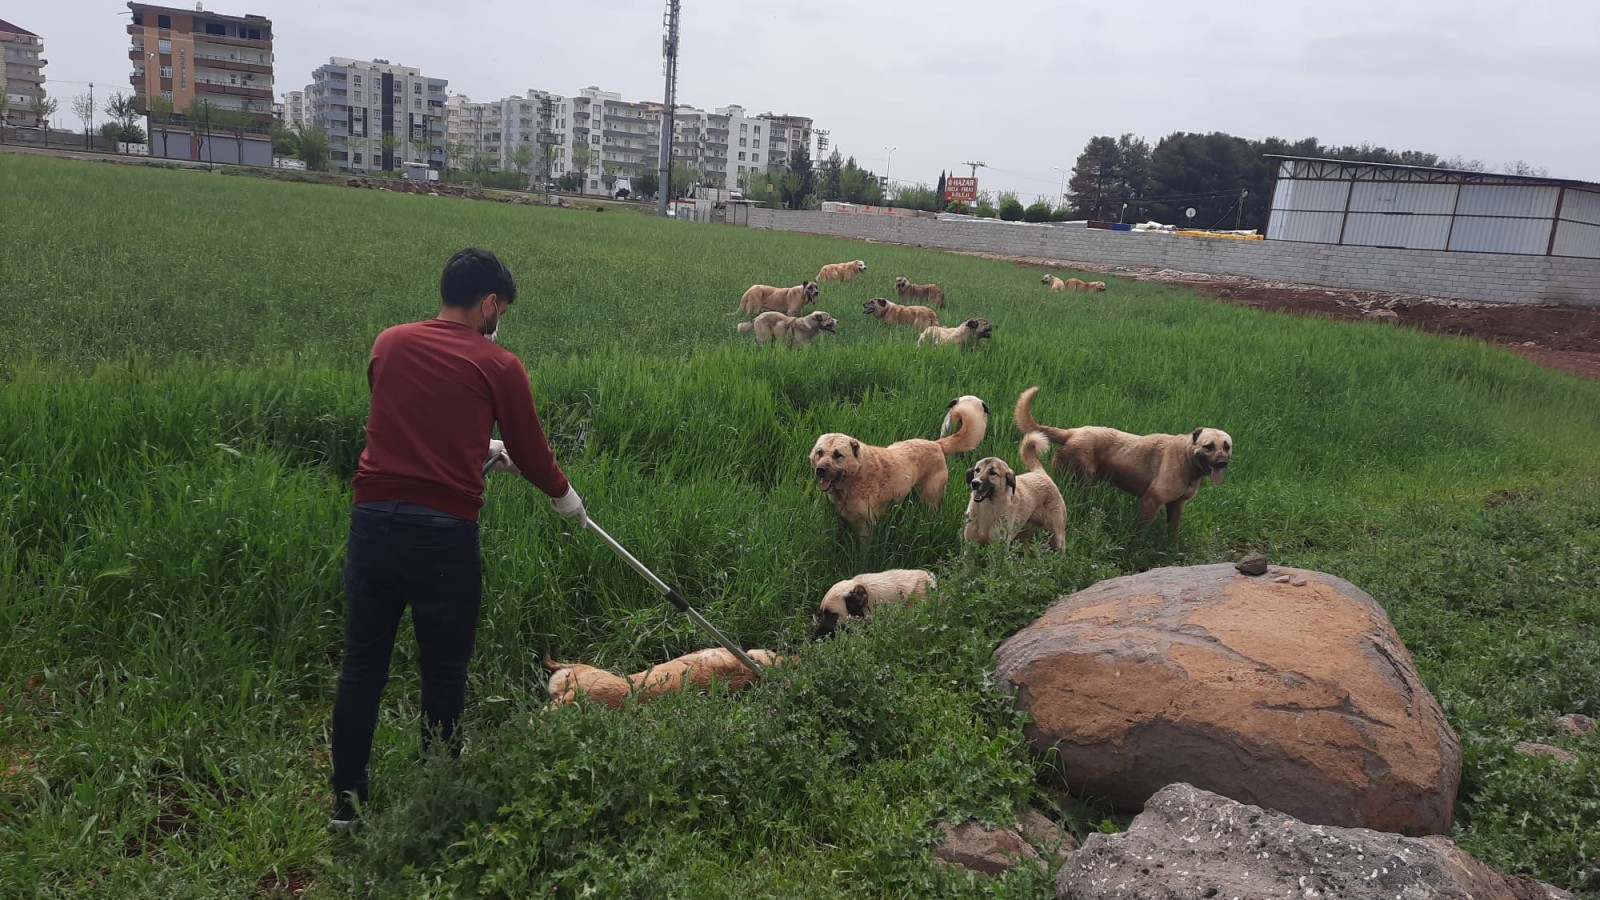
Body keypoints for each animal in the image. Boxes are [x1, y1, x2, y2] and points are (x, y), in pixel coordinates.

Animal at [812, 390, 985, 531]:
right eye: (819, 453)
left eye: (838, 455)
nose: (819, 470)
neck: (854, 477)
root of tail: (936, 444)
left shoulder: (866, 525)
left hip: (931, 498)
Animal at [1011, 385, 1235, 538]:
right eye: (1208, 446)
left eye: (1227, 446)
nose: (1222, 463)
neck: (1187, 458)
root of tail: (1071, 433)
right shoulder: (1151, 501)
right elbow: (1139, 535)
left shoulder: (1176, 506)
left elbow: (1173, 534)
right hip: (1080, 481)